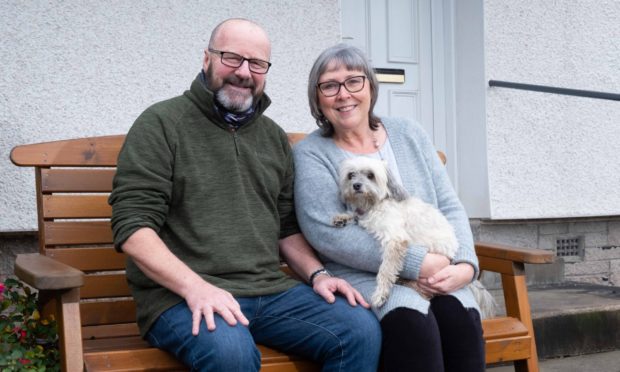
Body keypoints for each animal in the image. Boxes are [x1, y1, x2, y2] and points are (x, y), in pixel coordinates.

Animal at [332, 155, 496, 318]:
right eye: (351, 175)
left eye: (370, 175)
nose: (356, 185)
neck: (374, 204)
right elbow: (355, 215)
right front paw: (342, 218)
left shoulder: (395, 239)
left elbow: (386, 269)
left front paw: (381, 294)